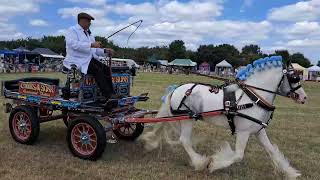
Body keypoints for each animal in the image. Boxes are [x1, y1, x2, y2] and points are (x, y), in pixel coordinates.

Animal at [140, 56, 308, 179]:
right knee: (184, 140)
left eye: (298, 75)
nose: (304, 97)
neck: (254, 98)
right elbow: (238, 156)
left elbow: (272, 150)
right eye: (294, 77)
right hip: (188, 119)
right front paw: (214, 164)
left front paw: (290, 172)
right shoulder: (243, 132)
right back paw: (200, 162)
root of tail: (176, 89)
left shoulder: (259, 131)